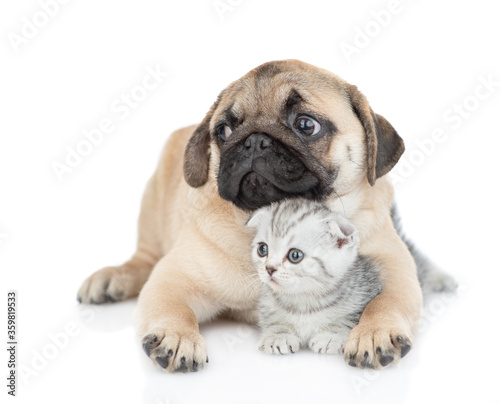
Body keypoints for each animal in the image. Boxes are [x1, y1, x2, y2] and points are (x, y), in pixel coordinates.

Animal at [247, 200, 382, 356]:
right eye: (262, 249)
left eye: (295, 255)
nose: (269, 268)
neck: (304, 302)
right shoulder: (267, 304)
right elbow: (272, 319)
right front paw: (279, 335)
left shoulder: (367, 290)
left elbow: (349, 318)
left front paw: (331, 335)